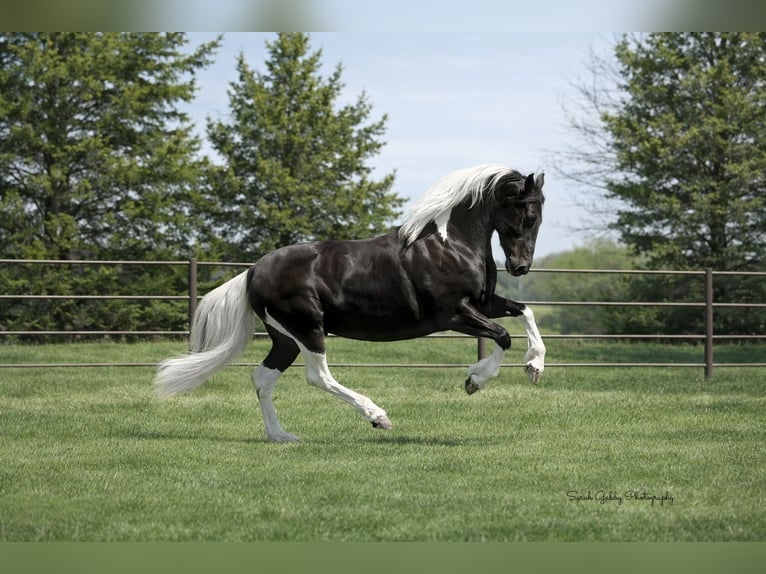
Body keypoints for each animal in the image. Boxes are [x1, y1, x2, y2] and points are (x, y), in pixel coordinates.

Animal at [155, 164, 546, 442]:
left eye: (539, 219)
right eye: (527, 216)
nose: (521, 267)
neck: (449, 245)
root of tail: (253, 271)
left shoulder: (483, 302)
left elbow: (524, 312)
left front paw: (534, 367)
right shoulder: (454, 313)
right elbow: (501, 336)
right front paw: (475, 380)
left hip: (285, 338)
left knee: (263, 378)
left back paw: (282, 436)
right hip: (308, 329)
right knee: (318, 376)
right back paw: (378, 416)